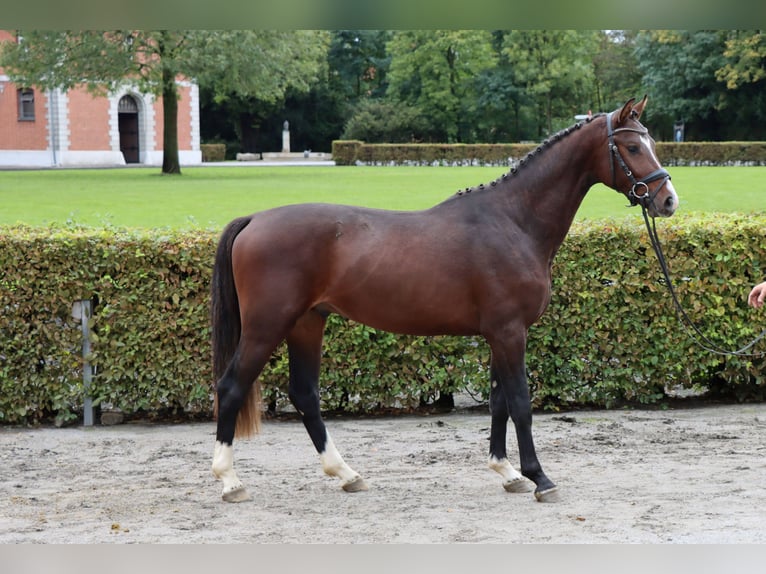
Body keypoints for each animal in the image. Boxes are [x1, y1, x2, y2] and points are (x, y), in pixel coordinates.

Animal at [210, 98, 680, 504]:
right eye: (632, 146)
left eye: (653, 141)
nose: (668, 200)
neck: (513, 221)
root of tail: (254, 219)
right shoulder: (509, 333)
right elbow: (521, 403)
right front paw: (539, 477)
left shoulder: (498, 334)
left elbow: (499, 402)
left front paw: (507, 472)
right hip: (267, 326)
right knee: (231, 387)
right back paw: (230, 480)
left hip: (308, 322)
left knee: (305, 394)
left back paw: (346, 474)